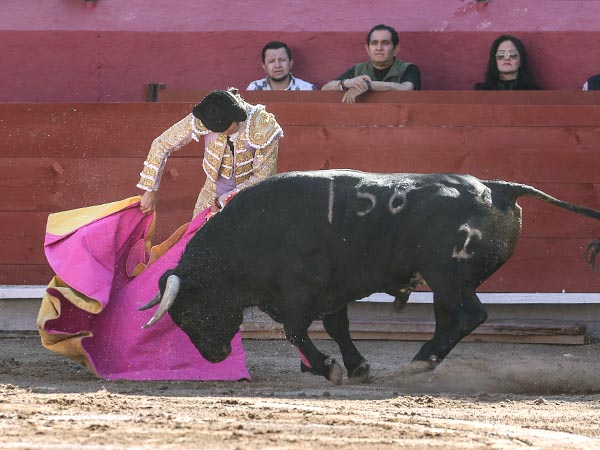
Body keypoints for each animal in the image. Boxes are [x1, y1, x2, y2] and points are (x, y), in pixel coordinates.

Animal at [139, 171, 600, 384]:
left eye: (190, 312)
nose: (215, 356)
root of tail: (496, 187)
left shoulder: (300, 290)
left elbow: (295, 330)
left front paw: (327, 368)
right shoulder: (332, 293)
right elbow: (338, 327)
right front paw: (356, 367)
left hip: (447, 276)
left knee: (471, 316)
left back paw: (419, 361)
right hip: (446, 285)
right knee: (451, 319)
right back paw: (423, 360)